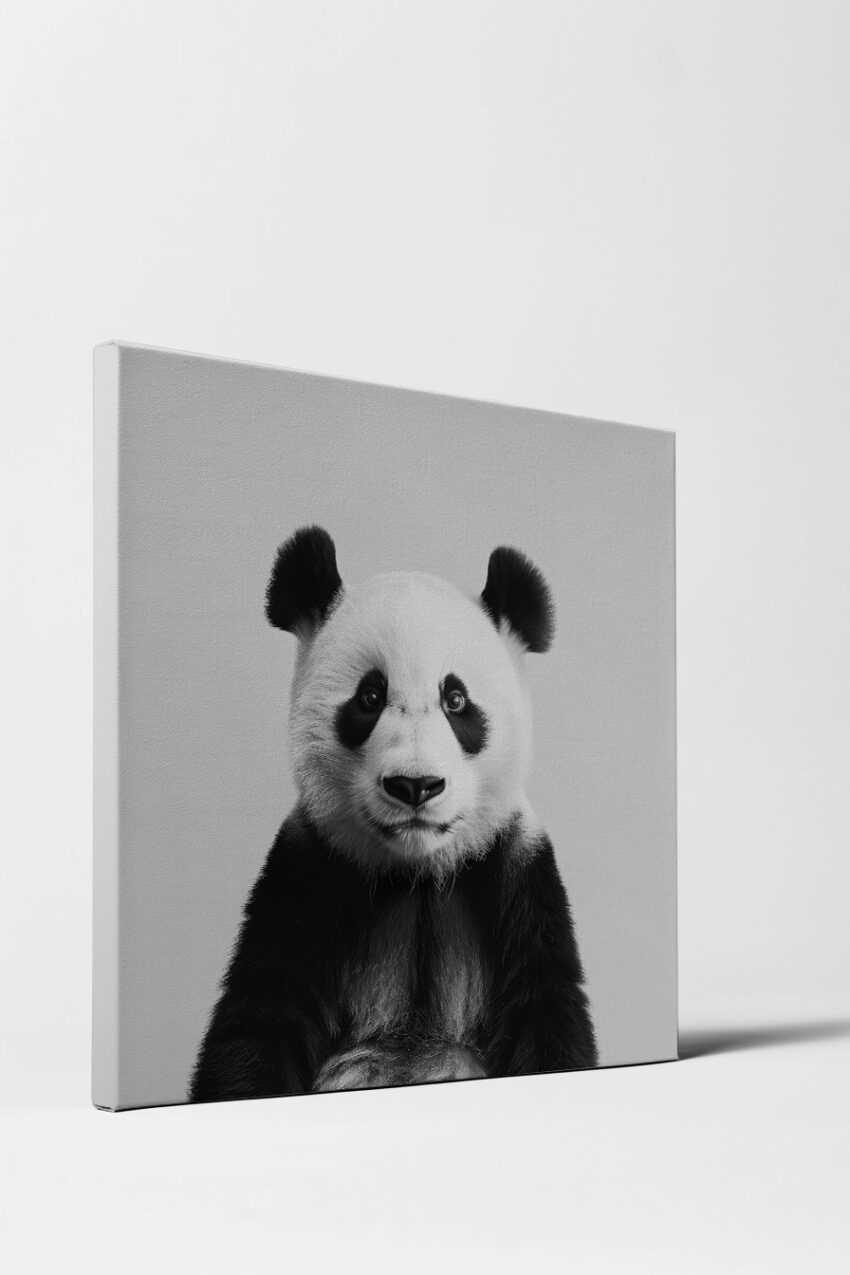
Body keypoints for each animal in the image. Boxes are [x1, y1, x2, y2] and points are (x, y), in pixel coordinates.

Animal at [190, 526, 597, 1101]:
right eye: (369, 696)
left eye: (456, 700)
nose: (415, 785)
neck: (416, 873)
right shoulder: (305, 870)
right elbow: (258, 1019)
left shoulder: (519, 873)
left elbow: (546, 1011)